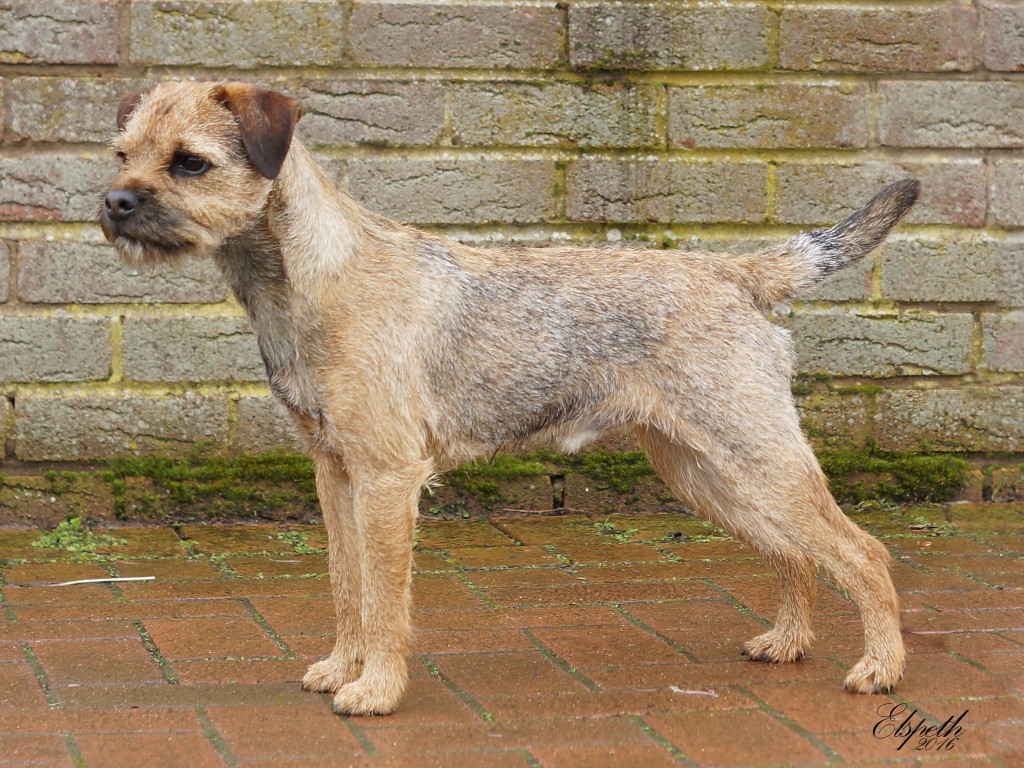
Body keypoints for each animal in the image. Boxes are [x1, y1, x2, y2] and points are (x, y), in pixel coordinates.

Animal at [101, 81, 918, 715]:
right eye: (122, 153)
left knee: (863, 551)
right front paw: (341, 667)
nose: (113, 202)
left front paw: (376, 689)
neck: (308, 278)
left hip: (754, 457)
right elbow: (346, 585)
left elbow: (385, 598)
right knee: (798, 555)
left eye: (191, 162)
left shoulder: (387, 478)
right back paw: (787, 643)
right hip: (703, 470)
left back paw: (880, 668)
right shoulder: (335, 473)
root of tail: (733, 272)